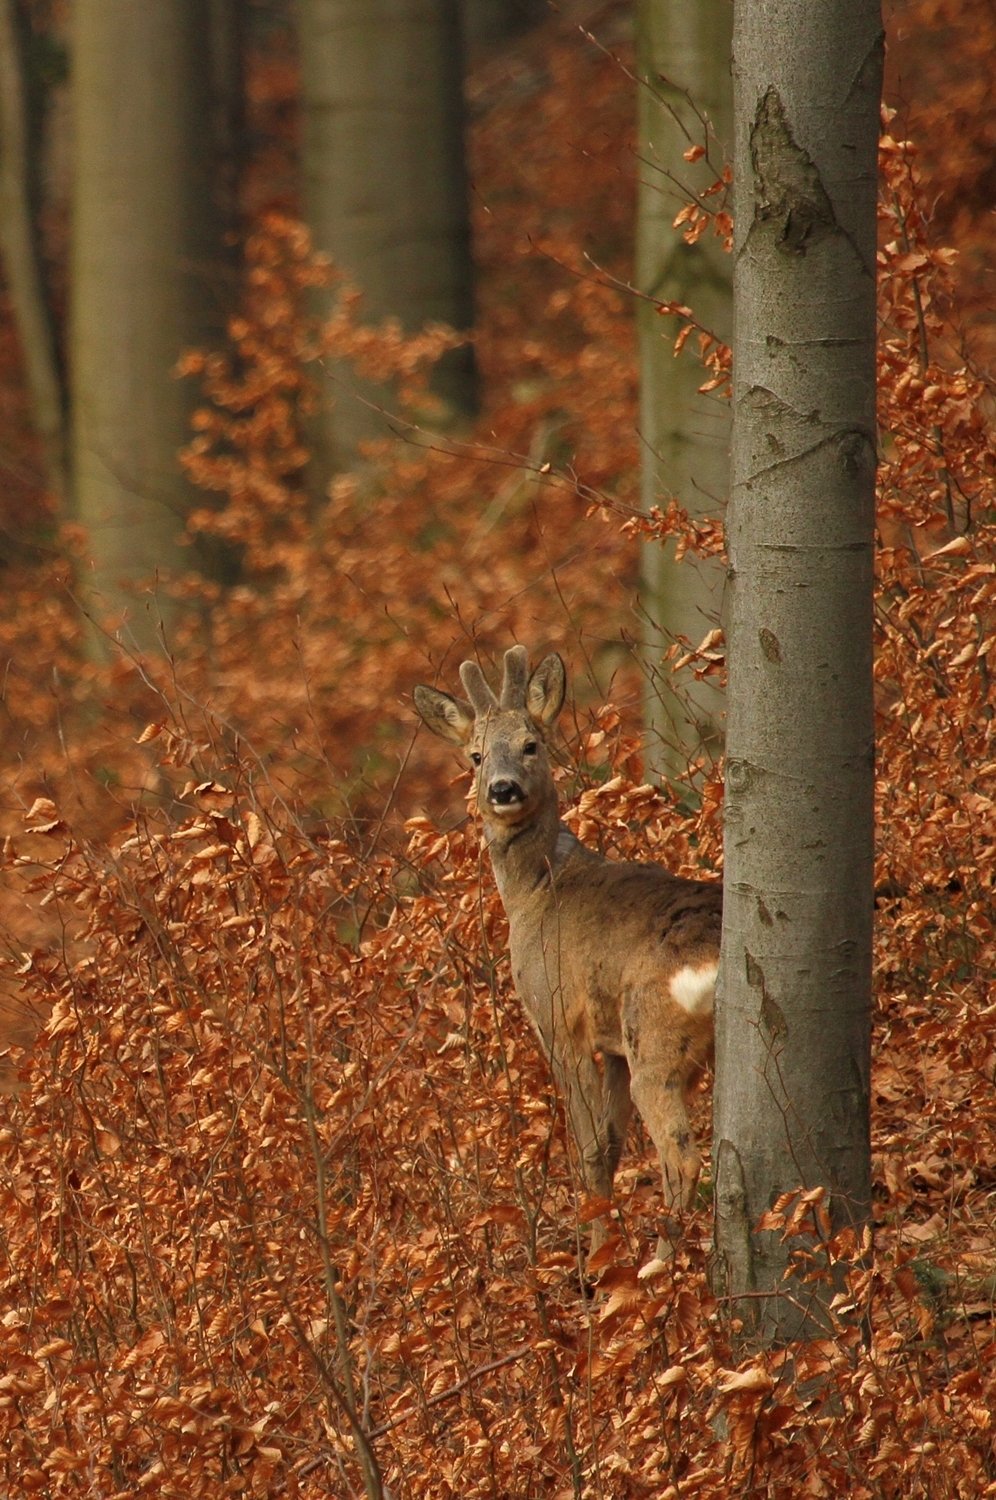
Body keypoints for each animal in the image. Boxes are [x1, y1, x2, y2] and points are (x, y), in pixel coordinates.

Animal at [414, 651, 723, 1260]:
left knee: (681, 1158)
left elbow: (590, 1151)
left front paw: (599, 1260)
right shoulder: (613, 1048)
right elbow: (612, 1146)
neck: (537, 888)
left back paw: (659, 1268)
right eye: (476, 754)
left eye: (531, 743)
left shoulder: (559, 1021)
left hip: (652, 1036)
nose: (502, 788)